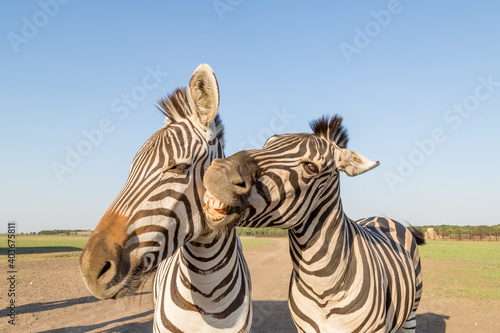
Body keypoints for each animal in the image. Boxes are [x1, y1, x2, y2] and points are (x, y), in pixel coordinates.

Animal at [201, 115, 424, 332]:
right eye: (267, 143)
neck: (321, 284)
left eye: (311, 167)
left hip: (411, 314)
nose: (217, 172)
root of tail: (381, 217)